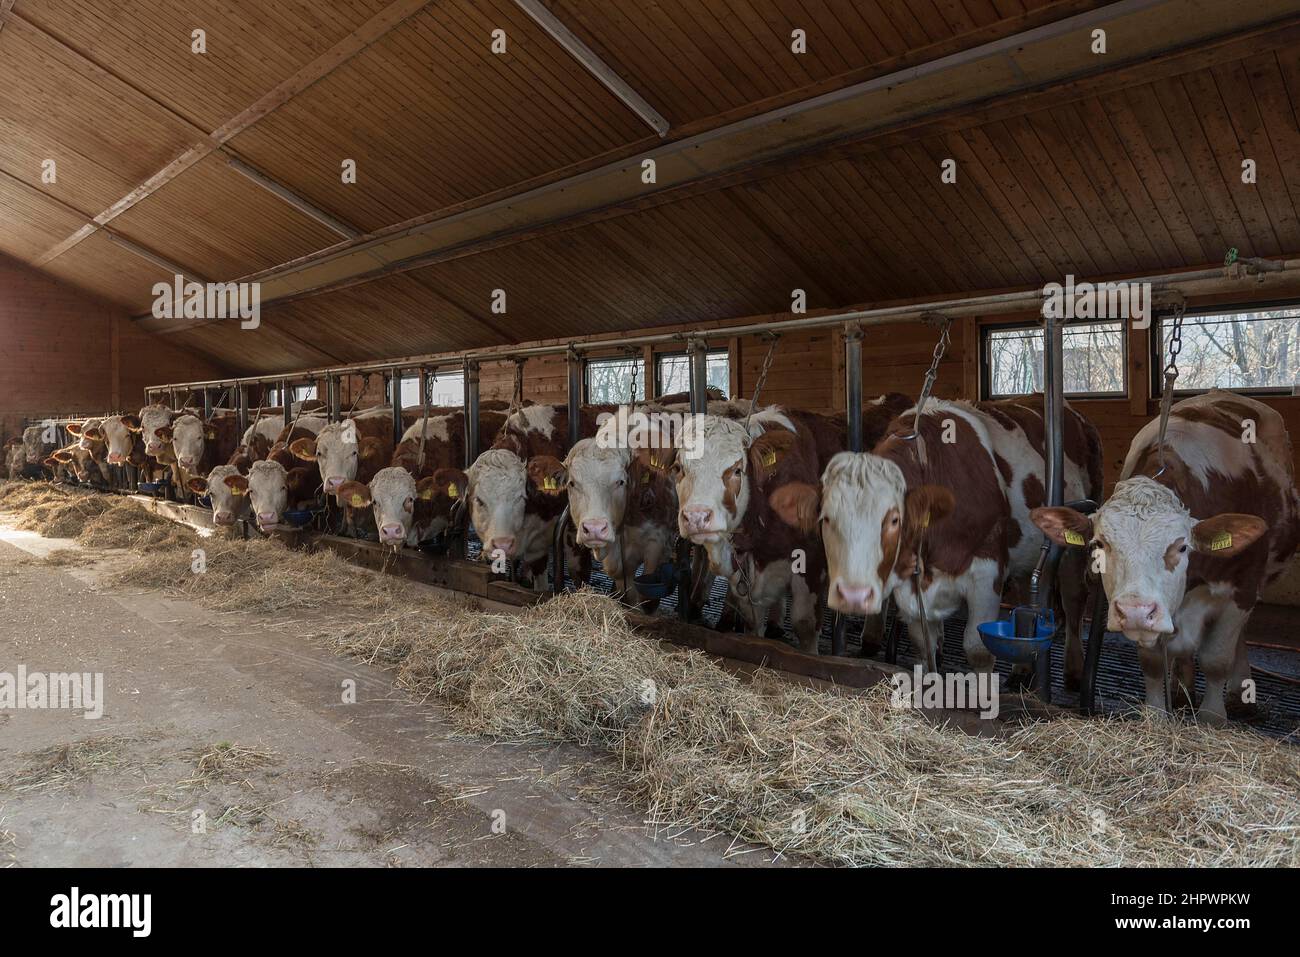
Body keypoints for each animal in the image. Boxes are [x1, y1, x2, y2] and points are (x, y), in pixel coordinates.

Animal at [769, 400, 1097, 670]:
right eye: (825, 519)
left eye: (894, 519)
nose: (853, 595)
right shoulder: (912, 587)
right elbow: (924, 645)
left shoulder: (987, 570)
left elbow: (978, 650)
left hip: (1073, 540)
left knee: (1074, 598)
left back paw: (1074, 670)